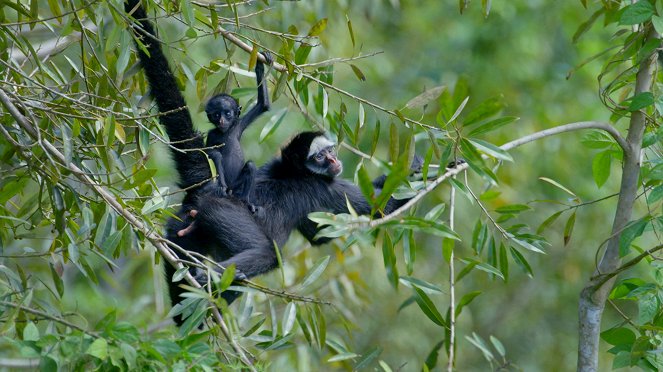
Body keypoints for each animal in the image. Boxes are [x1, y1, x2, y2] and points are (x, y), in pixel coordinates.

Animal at [126, 0, 420, 324]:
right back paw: (208, 279)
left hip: (182, 227)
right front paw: (423, 169)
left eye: (331, 149)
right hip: (220, 212)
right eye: (320, 156)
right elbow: (376, 208)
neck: (291, 169)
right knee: (265, 252)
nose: (334, 160)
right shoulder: (323, 189)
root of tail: (210, 189)